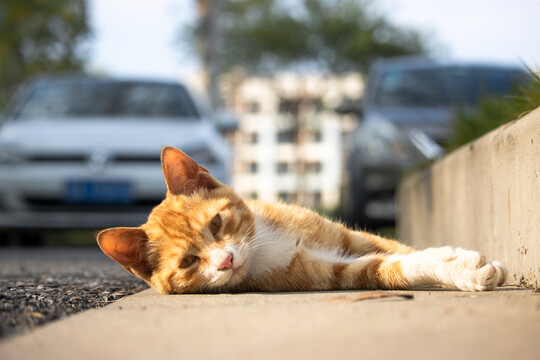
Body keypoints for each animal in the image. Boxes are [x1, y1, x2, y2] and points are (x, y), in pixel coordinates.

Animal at [99, 146, 508, 292]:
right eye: (187, 261)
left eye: (215, 224)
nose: (226, 260)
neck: (264, 242)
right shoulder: (323, 272)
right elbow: (391, 266)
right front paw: (463, 271)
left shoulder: (348, 238)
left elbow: (400, 248)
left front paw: (454, 256)